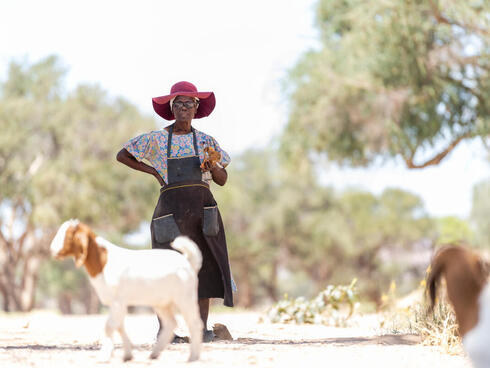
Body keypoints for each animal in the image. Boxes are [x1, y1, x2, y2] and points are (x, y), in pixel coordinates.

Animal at [49, 220, 203, 360]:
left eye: (69, 236)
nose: (52, 250)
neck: (104, 261)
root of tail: (188, 262)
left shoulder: (118, 302)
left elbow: (109, 326)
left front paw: (104, 356)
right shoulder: (117, 304)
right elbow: (118, 326)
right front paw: (127, 355)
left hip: (185, 298)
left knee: (195, 324)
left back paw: (193, 357)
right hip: (161, 303)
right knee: (170, 324)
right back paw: (154, 354)